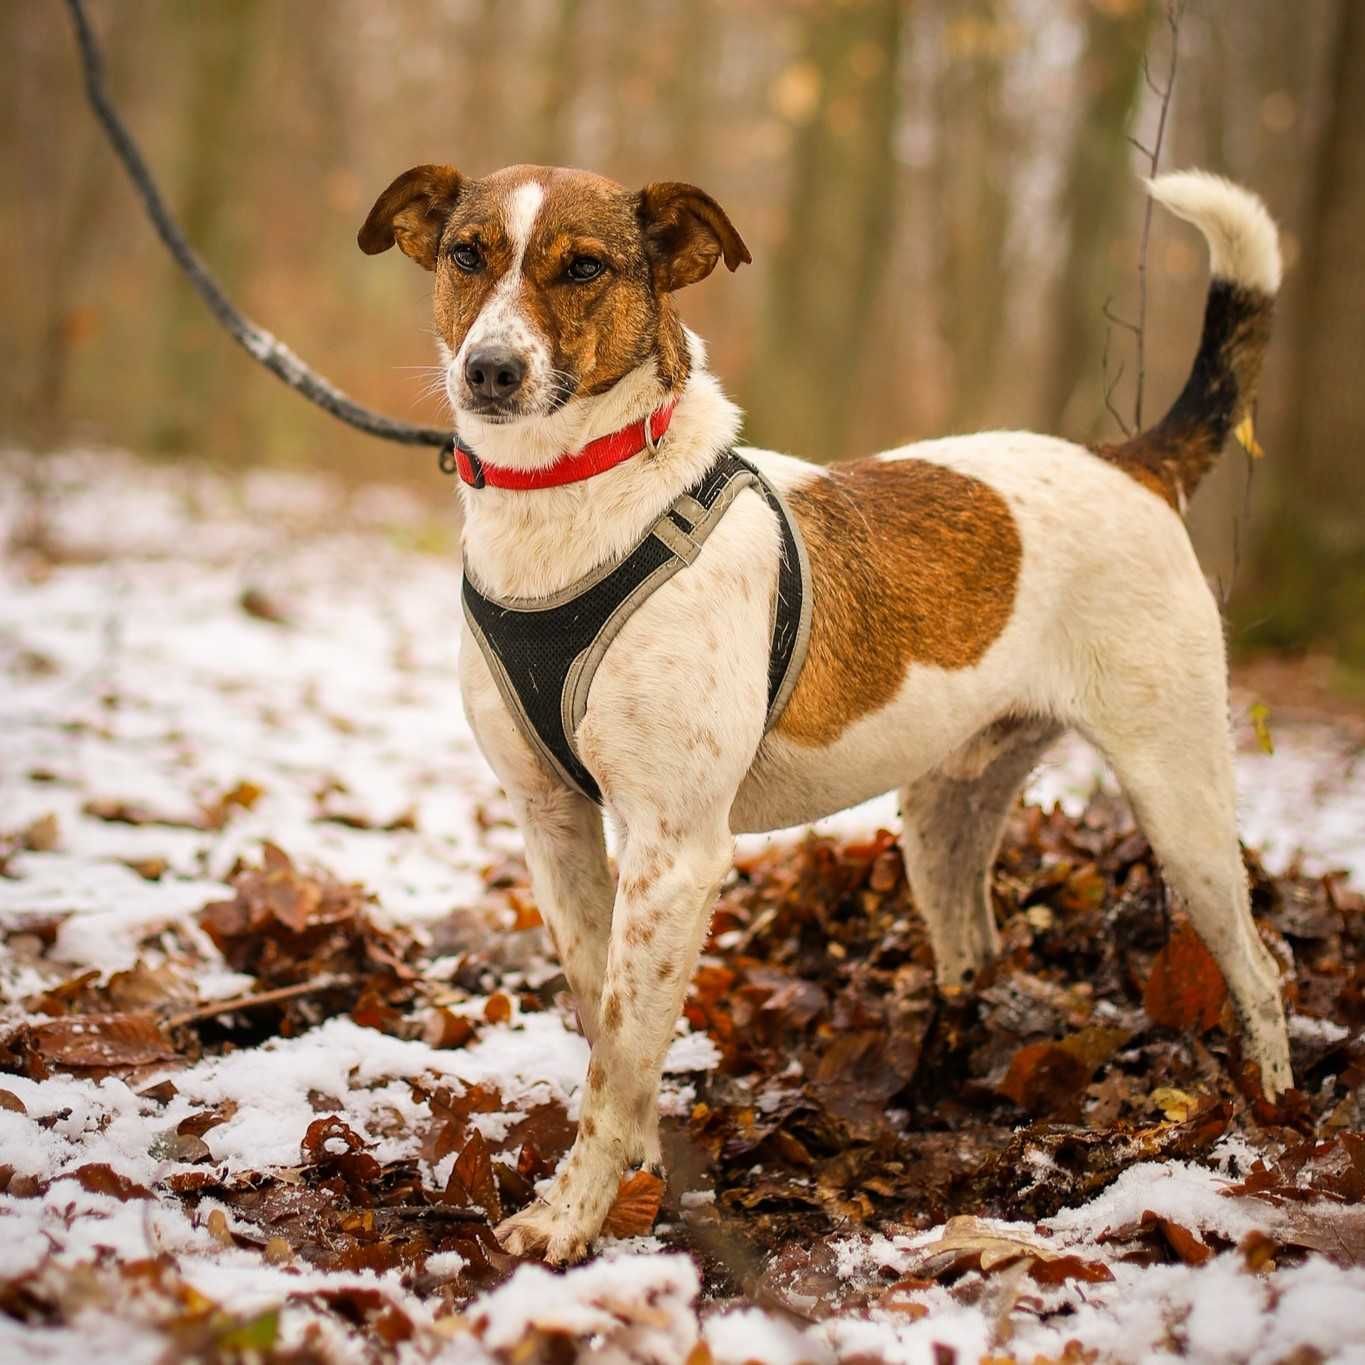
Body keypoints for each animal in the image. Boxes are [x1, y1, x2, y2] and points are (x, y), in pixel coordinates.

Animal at [360, 165, 1288, 1261]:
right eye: (466, 255)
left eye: (584, 267)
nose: (492, 372)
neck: (571, 499)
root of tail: (1127, 461)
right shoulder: (553, 822)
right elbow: (604, 1019)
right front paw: (627, 1171)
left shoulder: (677, 849)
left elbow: (621, 1049)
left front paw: (574, 1213)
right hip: (945, 815)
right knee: (973, 947)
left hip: (1179, 797)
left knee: (1259, 973)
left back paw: (1270, 1123)